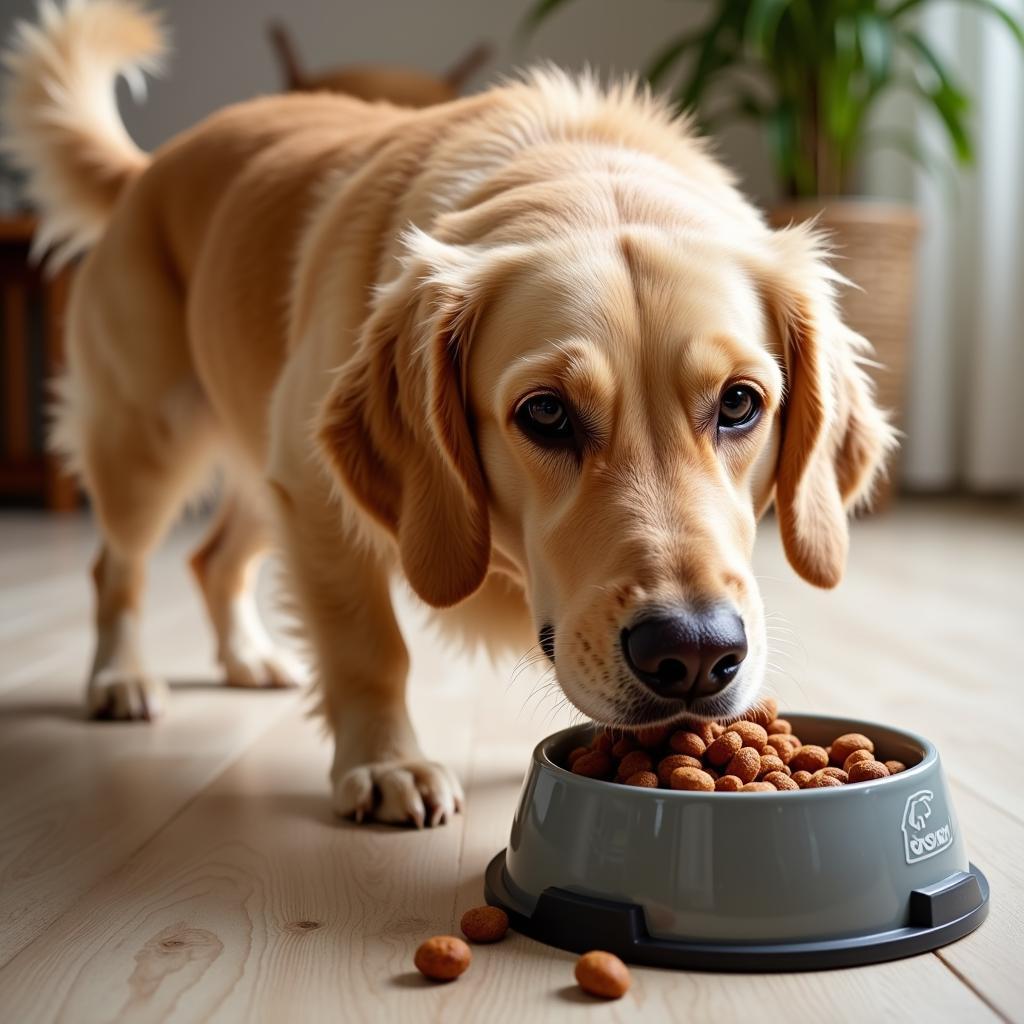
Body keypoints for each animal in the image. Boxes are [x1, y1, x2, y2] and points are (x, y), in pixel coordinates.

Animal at [2, 0, 897, 827]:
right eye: (546, 414)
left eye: (740, 403)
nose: (694, 655)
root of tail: (149, 167)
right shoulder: (322, 498)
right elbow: (369, 645)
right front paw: (387, 765)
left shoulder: (305, 480)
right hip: (152, 442)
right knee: (117, 566)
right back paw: (120, 677)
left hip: (269, 461)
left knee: (212, 558)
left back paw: (247, 657)